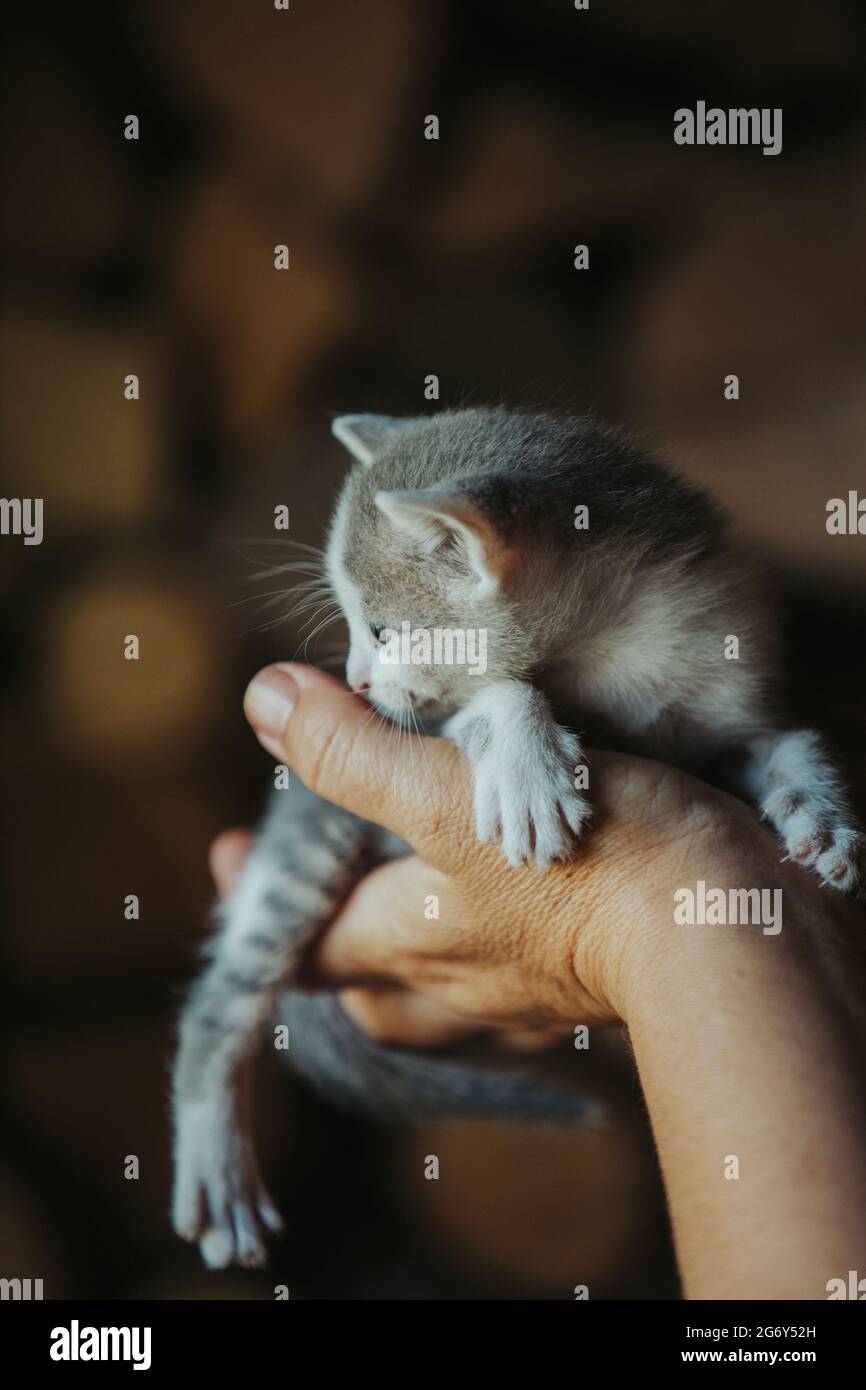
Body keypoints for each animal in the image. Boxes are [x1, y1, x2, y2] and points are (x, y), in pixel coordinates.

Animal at [173, 405, 861, 1267]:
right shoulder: (429, 726)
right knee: (216, 1005)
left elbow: (783, 742)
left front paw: (823, 814)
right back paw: (213, 1158)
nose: (355, 686)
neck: (617, 649)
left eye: (382, 628)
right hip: (309, 841)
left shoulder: (716, 705)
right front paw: (526, 760)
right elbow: (494, 695)